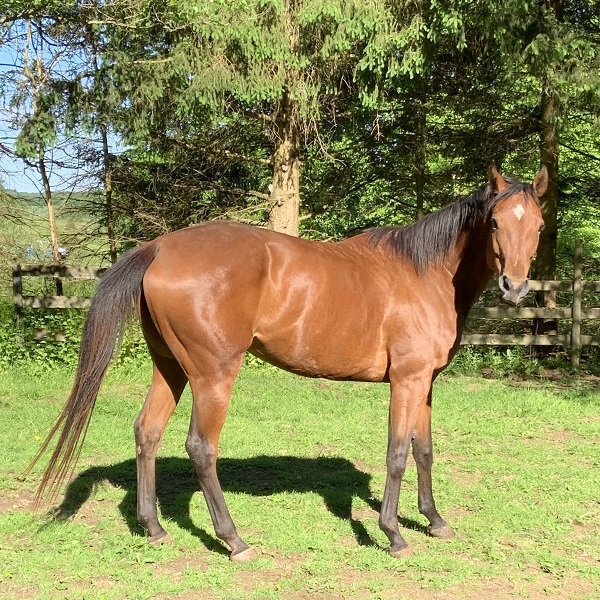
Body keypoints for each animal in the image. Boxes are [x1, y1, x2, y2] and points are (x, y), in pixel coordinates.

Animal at [31, 163, 548, 556]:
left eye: (539, 226)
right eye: (496, 223)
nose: (515, 286)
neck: (425, 272)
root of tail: (159, 247)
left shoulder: (426, 383)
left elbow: (424, 452)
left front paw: (434, 520)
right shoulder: (407, 380)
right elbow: (398, 454)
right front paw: (393, 534)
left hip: (171, 369)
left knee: (147, 432)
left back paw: (154, 527)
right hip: (213, 375)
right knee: (201, 448)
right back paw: (233, 540)